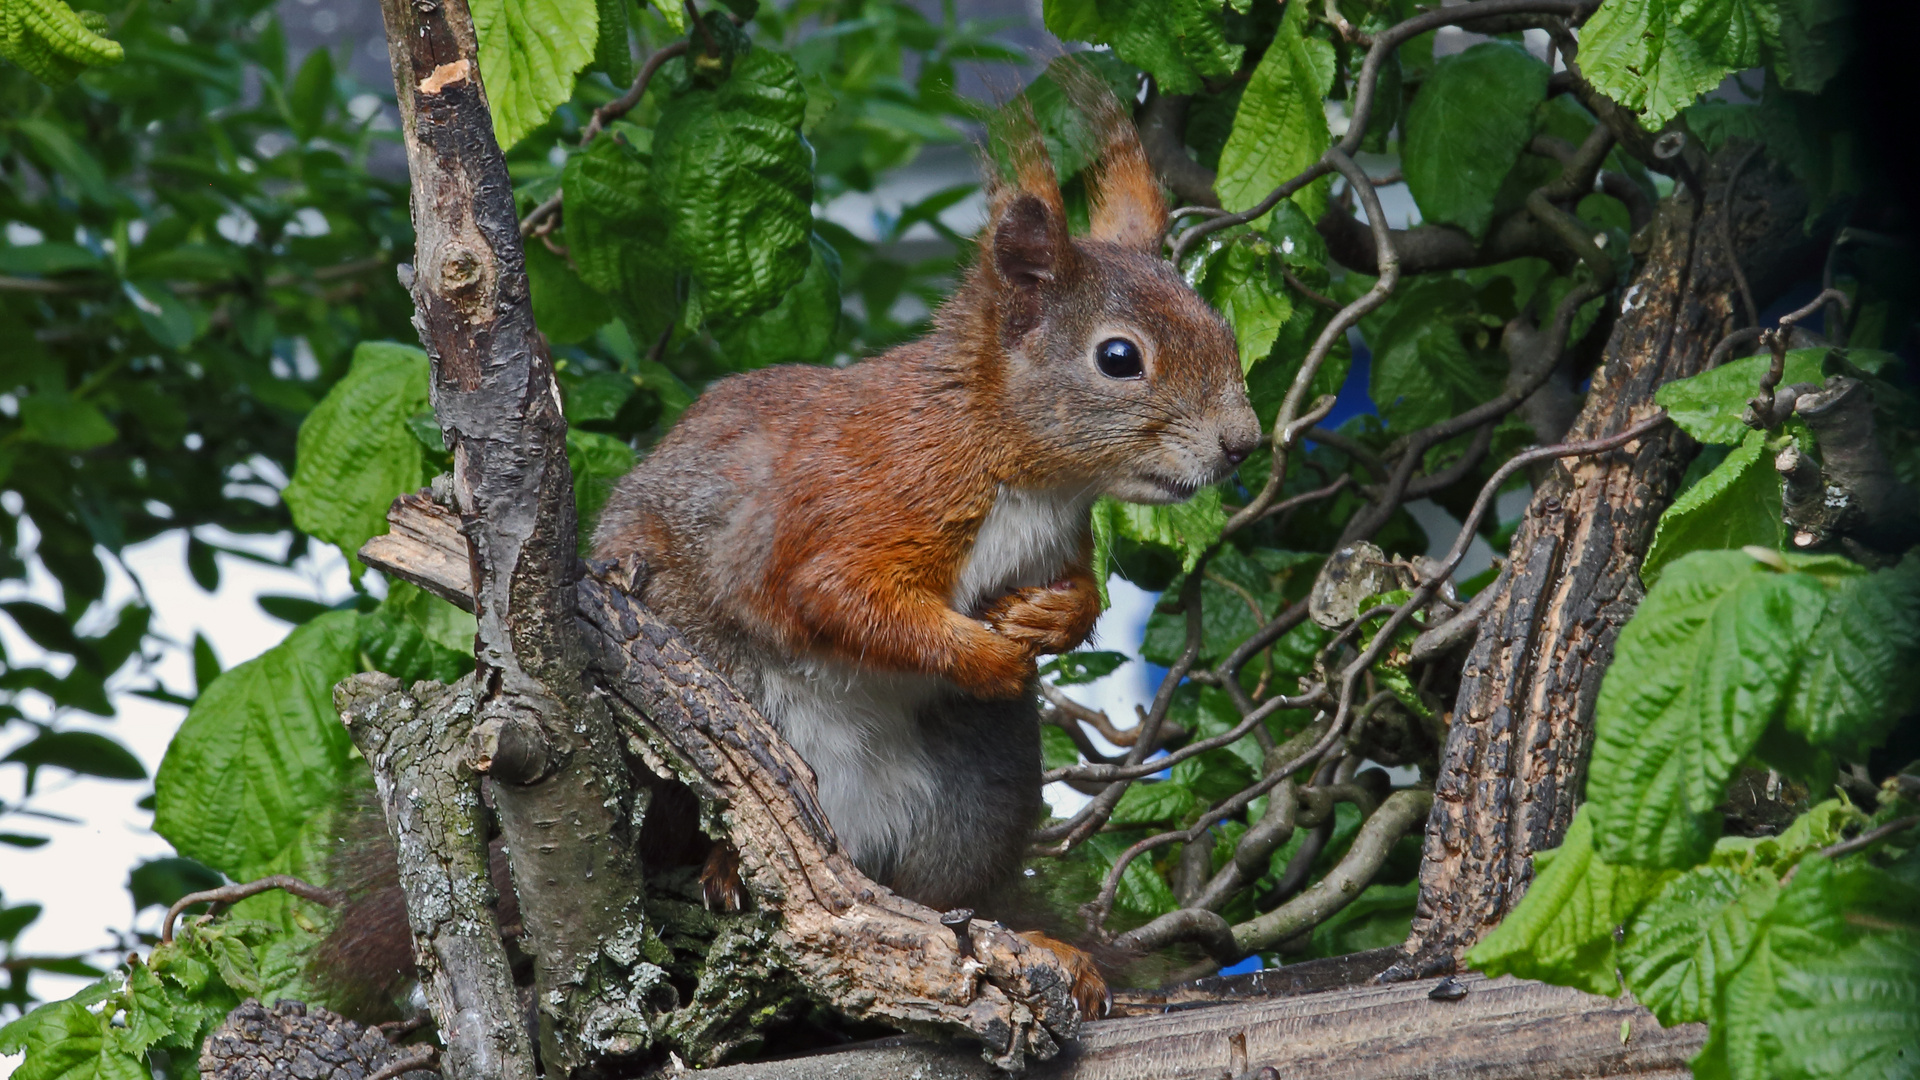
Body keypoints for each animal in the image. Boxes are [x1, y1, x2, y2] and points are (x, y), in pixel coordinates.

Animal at [595, 88, 1259, 1014]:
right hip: (698, 716)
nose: (1243, 443)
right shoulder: (867, 506)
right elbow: (841, 599)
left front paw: (1053, 618)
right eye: (1119, 358)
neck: (1023, 469)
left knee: (937, 904)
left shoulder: (1059, 537)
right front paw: (992, 657)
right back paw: (726, 868)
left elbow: (1079, 591)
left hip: (971, 799)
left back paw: (1038, 947)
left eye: (1221, 325)